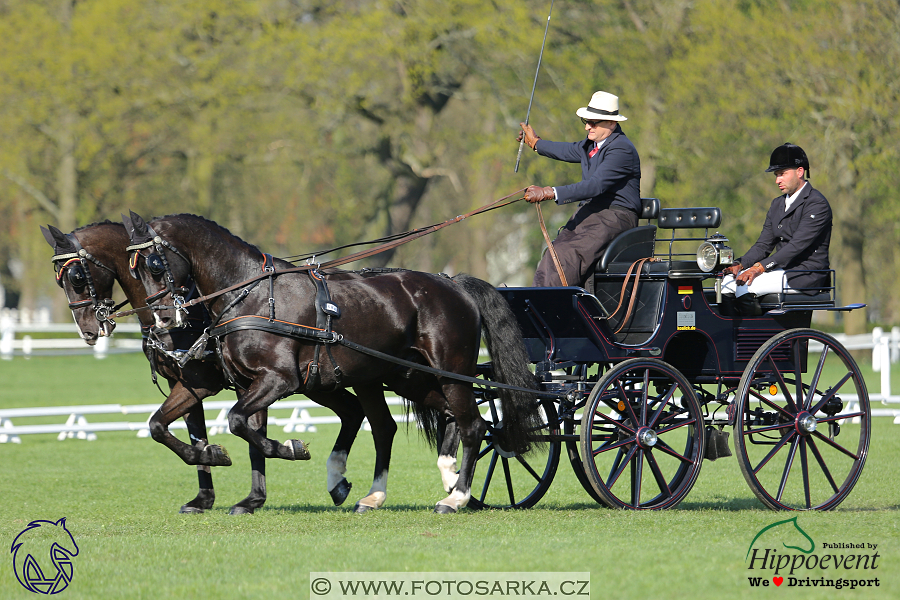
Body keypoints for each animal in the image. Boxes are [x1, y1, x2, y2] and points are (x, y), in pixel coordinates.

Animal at [39, 223, 370, 512]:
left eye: (77, 276)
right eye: (58, 279)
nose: (87, 331)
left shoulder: (206, 383)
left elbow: (247, 437)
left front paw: (251, 490)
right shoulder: (185, 385)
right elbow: (167, 428)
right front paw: (206, 485)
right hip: (320, 382)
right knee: (352, 411)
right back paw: (340, 485)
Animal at [122, 211, 536, 510]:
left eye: (154, 264)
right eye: (133, 270)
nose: (162, 319)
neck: (250, 293)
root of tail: (452, 282)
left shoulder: (278, 380)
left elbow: (239, 422)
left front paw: (291, 449)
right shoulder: (237, 383)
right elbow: (168, 425)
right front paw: (217, 459)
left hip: (450, 373)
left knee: (473, 425)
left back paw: (456, 496)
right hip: (405, 378)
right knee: (415, 423)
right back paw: (405, 489)